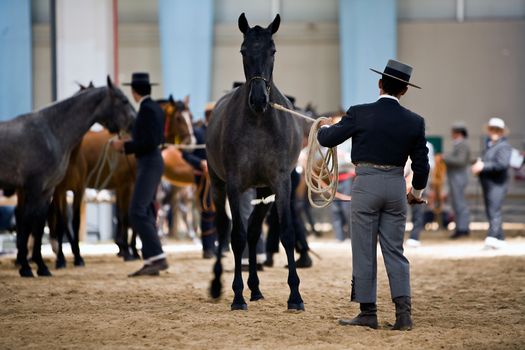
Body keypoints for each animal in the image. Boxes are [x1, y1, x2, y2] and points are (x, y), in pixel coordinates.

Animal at [0, 78, 135, 278]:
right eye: (124, 101)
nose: (136, 121)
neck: (51, 132)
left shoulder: (48, 191)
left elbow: (39, 226)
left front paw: (40, 266)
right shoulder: (37, 189)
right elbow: (30, 224)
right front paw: (28, 267)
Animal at [205, 12, 302, 310]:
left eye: (273, 50)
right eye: (243, 50)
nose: (259, 99)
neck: (259, 122)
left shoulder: (280, 183)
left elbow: (287, 234)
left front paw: (295, 296)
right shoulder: (234, 185)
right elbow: (235, 238)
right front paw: (237, 296)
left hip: (264, 190)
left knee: (253, 231)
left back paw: (256, 289)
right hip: (218, 185)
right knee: (225, 230)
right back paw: (218, 284)